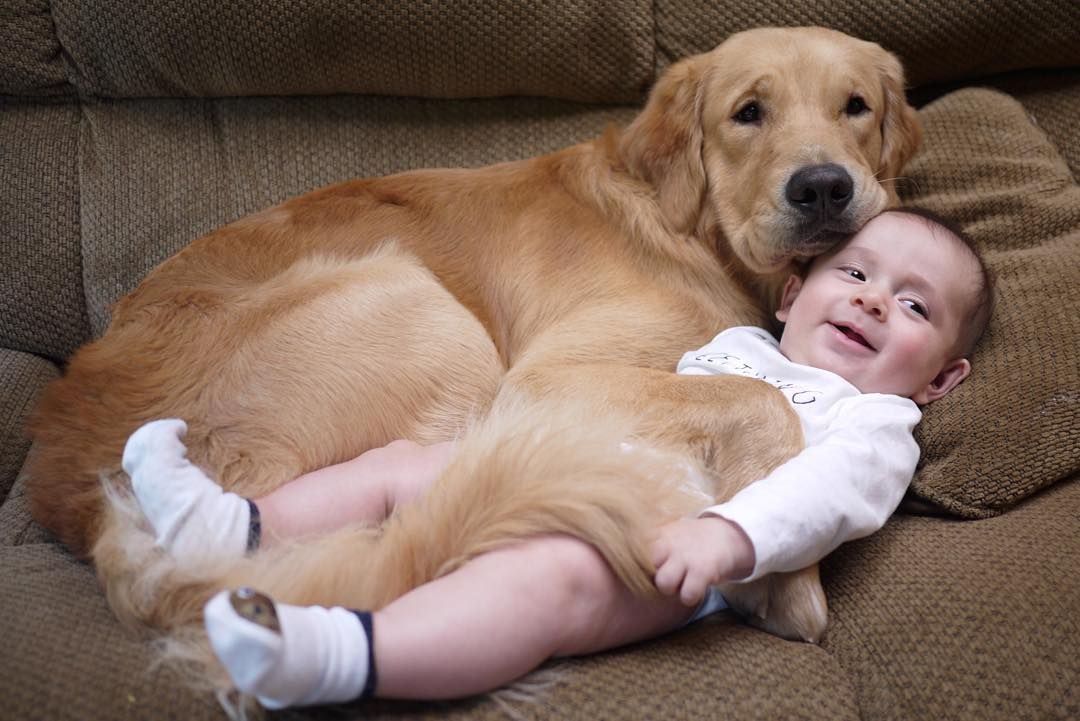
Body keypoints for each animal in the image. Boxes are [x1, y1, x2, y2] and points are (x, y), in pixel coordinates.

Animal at [25, 26, 920, 660]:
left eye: (855, 106)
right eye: (747, 113)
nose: (823, 188)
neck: (688, 228)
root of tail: (90, 504)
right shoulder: (546, 377)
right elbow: (760, 394)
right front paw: (782, 582)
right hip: (422, 310)